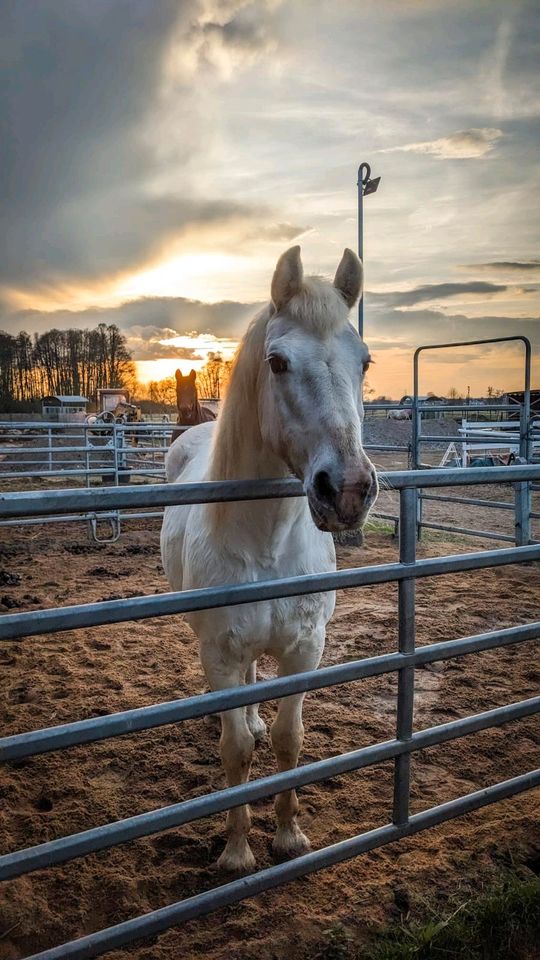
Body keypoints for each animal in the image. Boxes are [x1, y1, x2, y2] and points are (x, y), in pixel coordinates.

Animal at [162, 246, 378, 872]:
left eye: (365, 362)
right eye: (278, 363)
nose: (348, 490)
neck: (267, 542)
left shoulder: (306, 649)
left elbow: (289, 740)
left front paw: (289, 836)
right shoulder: (219, 653)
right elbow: (234, 749)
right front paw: (237, 852)